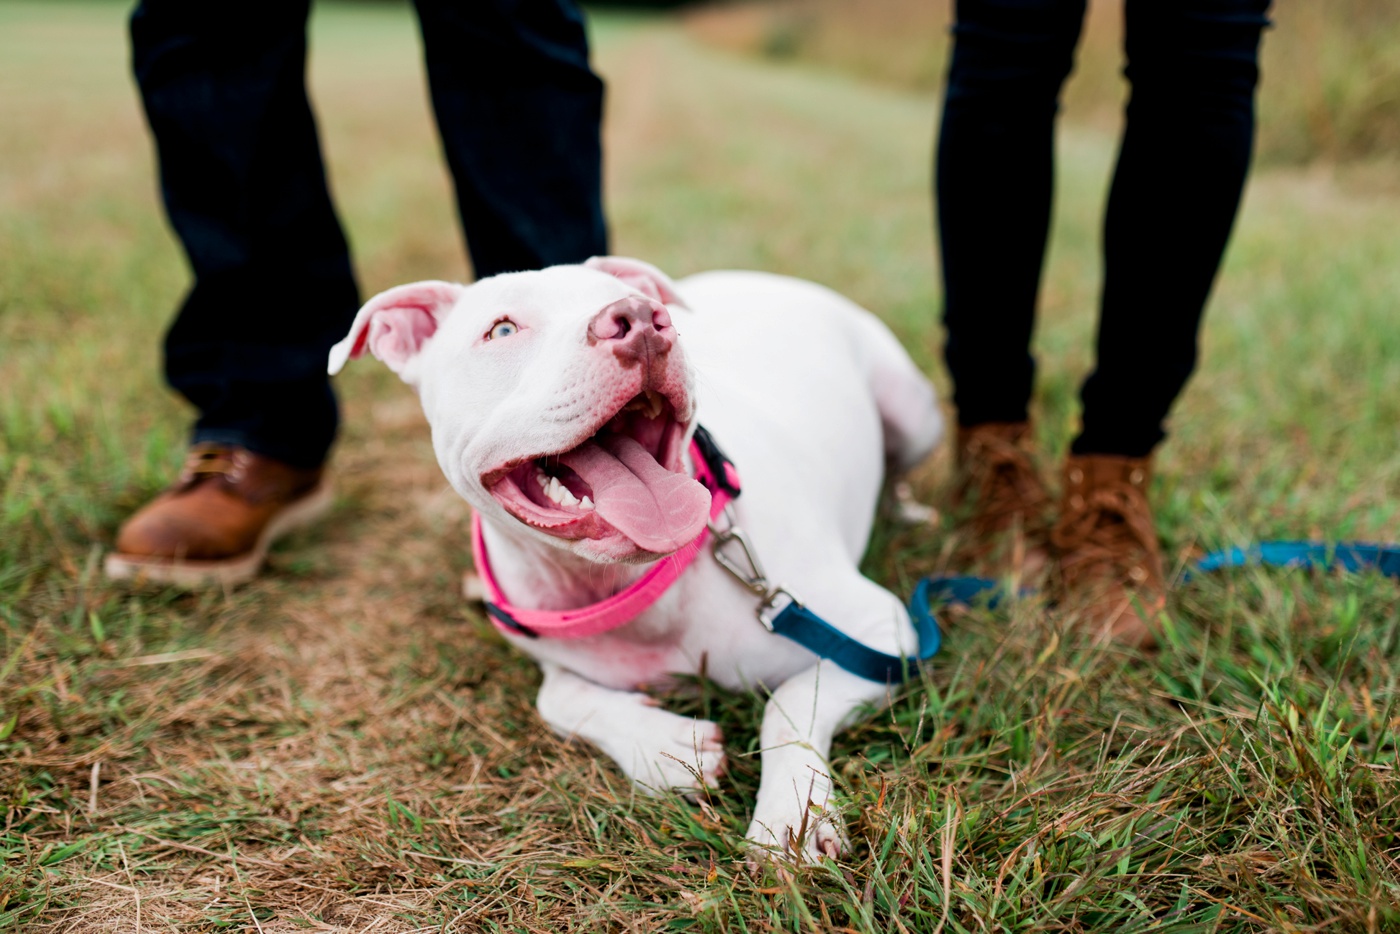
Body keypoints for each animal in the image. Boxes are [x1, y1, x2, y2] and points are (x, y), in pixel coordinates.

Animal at [327, 256, 940, 862]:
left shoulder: (882, 635)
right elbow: (559, 697)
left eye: (630, 301)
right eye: (501, 330)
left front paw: (792, 816)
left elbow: (789, 702)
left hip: (914, 417)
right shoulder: (551, 648)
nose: (642, 318)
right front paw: (667, 745)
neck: (621, 583)